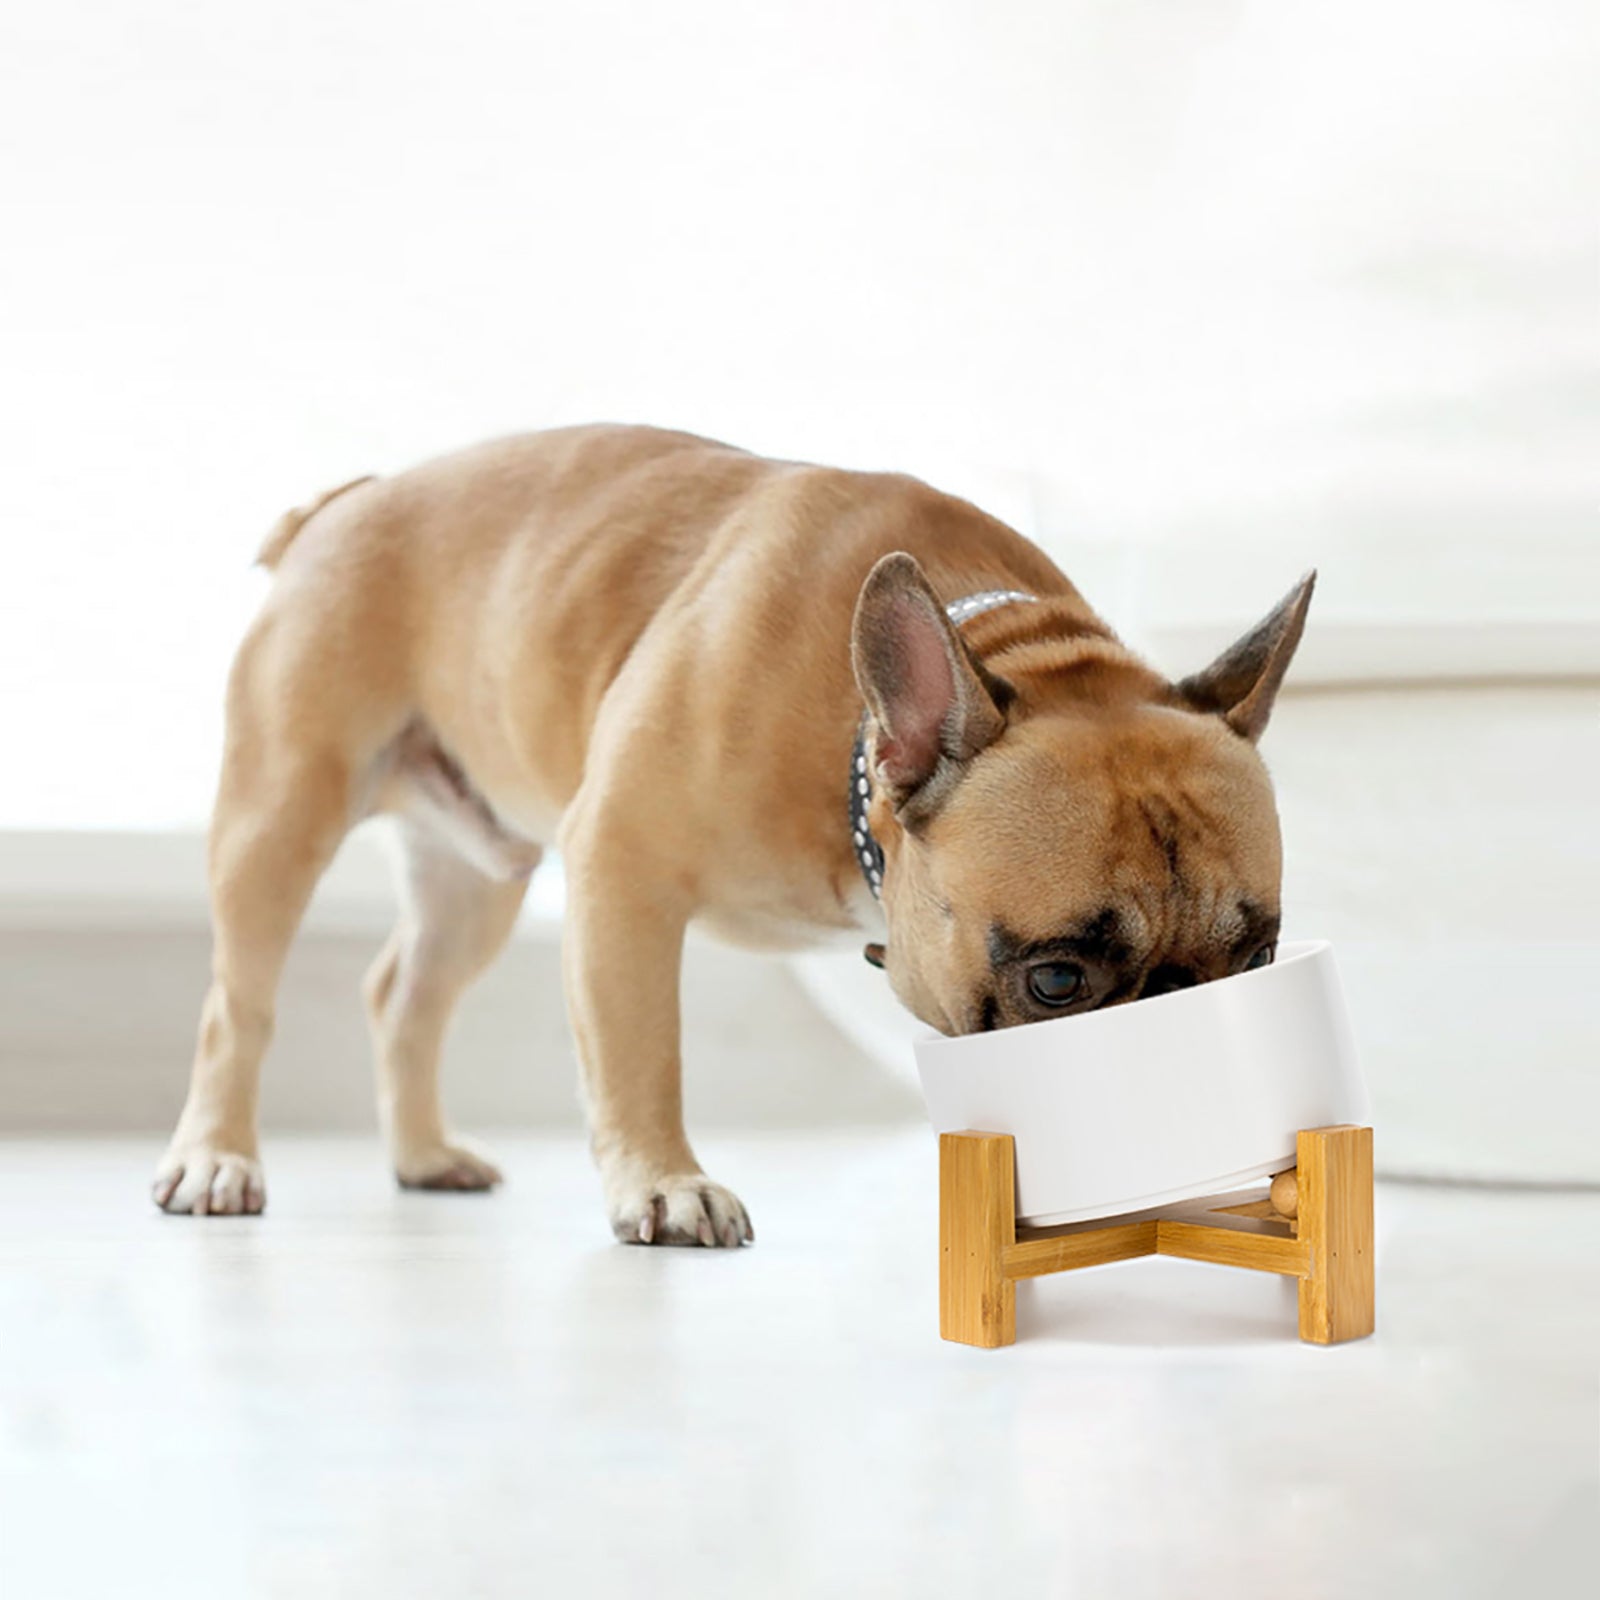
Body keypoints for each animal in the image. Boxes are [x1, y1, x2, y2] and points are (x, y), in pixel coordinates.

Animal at [156, 425, 1312, 1248]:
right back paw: (215, 1159)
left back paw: (423, 1155)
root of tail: (344, 502)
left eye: (1260, 957)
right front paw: (665, 1185)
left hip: (474, 878)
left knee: (404, 995)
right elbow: (639, 1051)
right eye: (1057, 980)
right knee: (234, 1008)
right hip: (279, 814)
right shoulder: (620, 867)